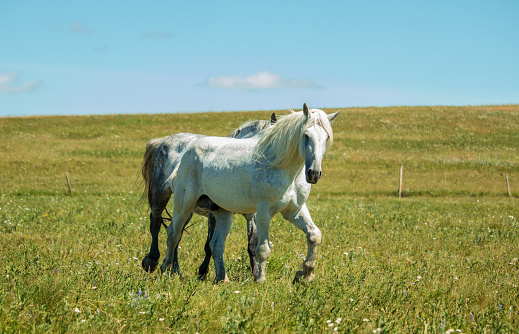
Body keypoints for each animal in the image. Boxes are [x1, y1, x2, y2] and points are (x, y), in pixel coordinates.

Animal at [162, 103, 342, 282]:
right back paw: (166, 271)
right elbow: (262, 248)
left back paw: (222, 279)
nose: (314, 174)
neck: (283, 168)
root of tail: (188, 150)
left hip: (222, 212)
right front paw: (260, 280)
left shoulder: (294, 211)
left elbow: (314, 235)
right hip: (184, 206)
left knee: (216, 244)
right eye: (306, 135)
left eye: (327, 137)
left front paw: (305, 274)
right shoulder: (263, 212)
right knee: (173, 234)